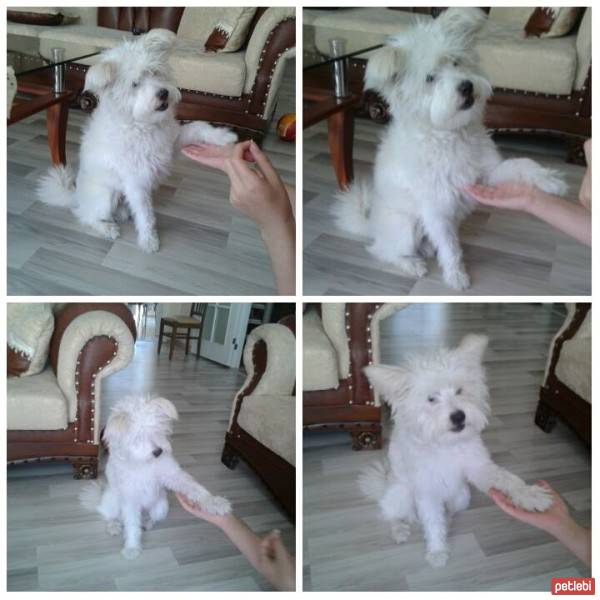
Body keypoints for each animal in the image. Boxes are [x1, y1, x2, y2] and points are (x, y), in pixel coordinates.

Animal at [35, 28, 239, 251]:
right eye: (135, 84)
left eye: (155, 72)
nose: (163, 93)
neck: (142, 124)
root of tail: (76, 197)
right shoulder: (136, 181)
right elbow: (145, 214)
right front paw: (149, 241)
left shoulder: (171, 142)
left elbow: (198, 126)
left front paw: (224, 136)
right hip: (106, 195)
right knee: (87, 217)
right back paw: (107, 229)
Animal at [80, 396, 230, 560]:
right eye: (138, 437)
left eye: (158, 429)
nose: (158, 452)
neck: (144, 462)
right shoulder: (130, 499)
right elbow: (132, 525)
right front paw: (132, 547)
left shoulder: (173, 475)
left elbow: (195, 488)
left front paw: (215, 502)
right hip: (112, 502)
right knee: (109, 516)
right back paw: (113, 526)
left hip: (162, 506)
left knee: (152, 517)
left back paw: (146, 522)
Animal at [332, 8, 568, 290]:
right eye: (430, 78)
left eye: (456, 62)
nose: (466, 86)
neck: (449, 134)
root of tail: (371, 226)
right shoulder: (437, 208)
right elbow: (451, 247)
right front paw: (456, 276)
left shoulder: (485, 174)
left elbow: (522, 164)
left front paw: (550, 181)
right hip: (405, 226)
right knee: (383, 251)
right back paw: (411, 264)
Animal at [358, 338, 552, 568]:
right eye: (431, 399)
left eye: (459, 390)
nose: (459, 416)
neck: (446, 445)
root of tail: (385, 485)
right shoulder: (427, 490)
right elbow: (432, 522)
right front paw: (437, 551)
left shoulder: (478, 467)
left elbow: (507, 478)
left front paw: (530, 495)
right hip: (402, 494)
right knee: (390, 514)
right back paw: (399, 530)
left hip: (462, 496)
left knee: (448, 511)